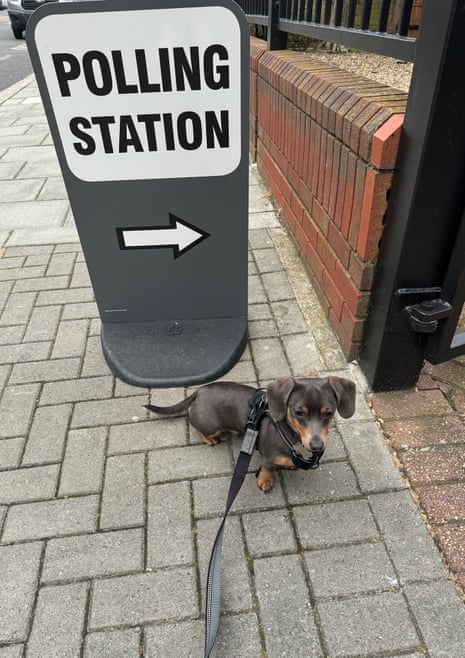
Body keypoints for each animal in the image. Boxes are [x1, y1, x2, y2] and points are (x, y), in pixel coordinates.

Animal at [145, 376, 356, 490]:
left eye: (328, 413)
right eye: (299, 412)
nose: (317, 446)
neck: (291, 434)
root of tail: (199, 391)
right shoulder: (268, 458)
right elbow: (267, 469)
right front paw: (265, 481)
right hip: (210, 426)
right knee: (198, 427)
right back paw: (210, 439)